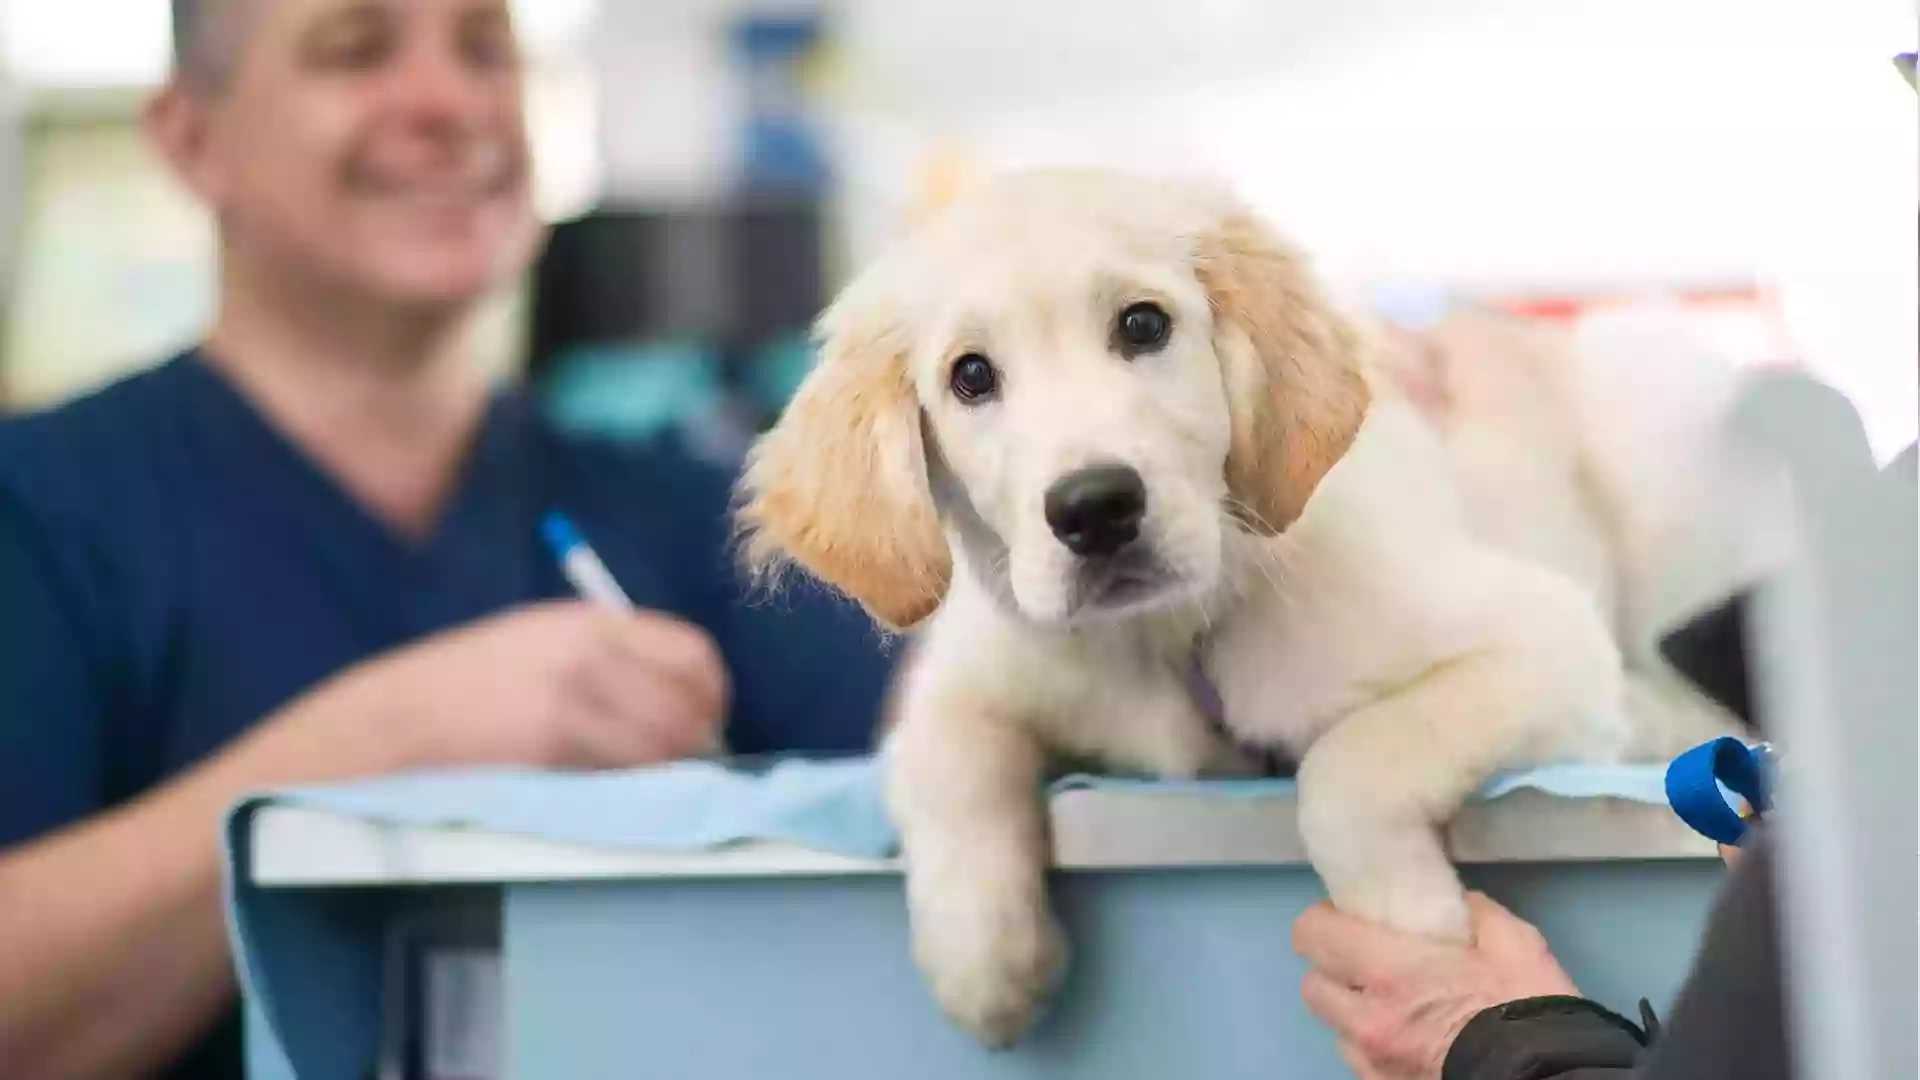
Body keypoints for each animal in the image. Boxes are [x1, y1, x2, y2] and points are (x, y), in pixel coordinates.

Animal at [733, 168, 1635, 1045]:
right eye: (971, 376)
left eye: (1143, 324)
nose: (1095, 508)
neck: (1159, 636)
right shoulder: (969, 678)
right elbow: (947, 761)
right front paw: (986, 966)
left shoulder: (1552, 645)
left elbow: (1351, 760)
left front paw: (1414, 931)